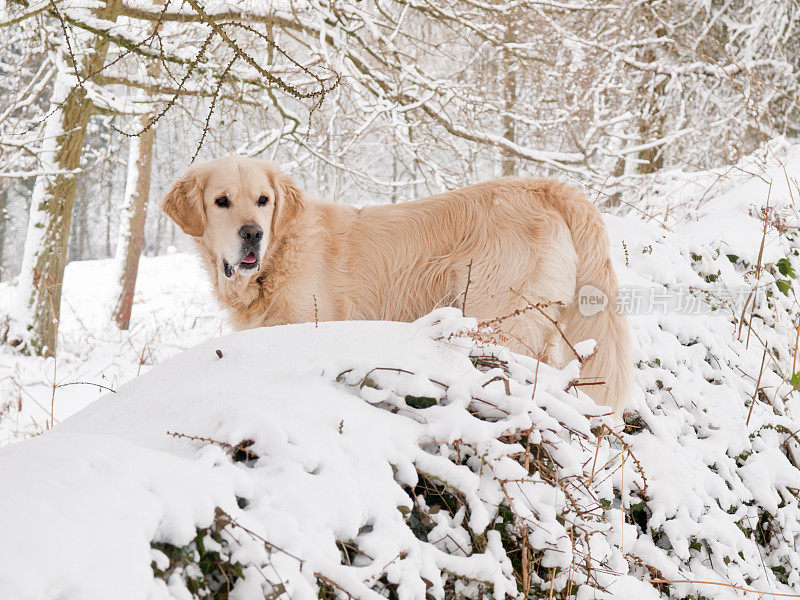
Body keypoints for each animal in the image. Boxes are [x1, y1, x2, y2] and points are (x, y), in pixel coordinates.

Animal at [166, 156, 636, 412]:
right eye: (221, 201)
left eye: (263, 201)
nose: (253, 233)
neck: (280, 253)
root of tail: (544, 186)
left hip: (498, 320)